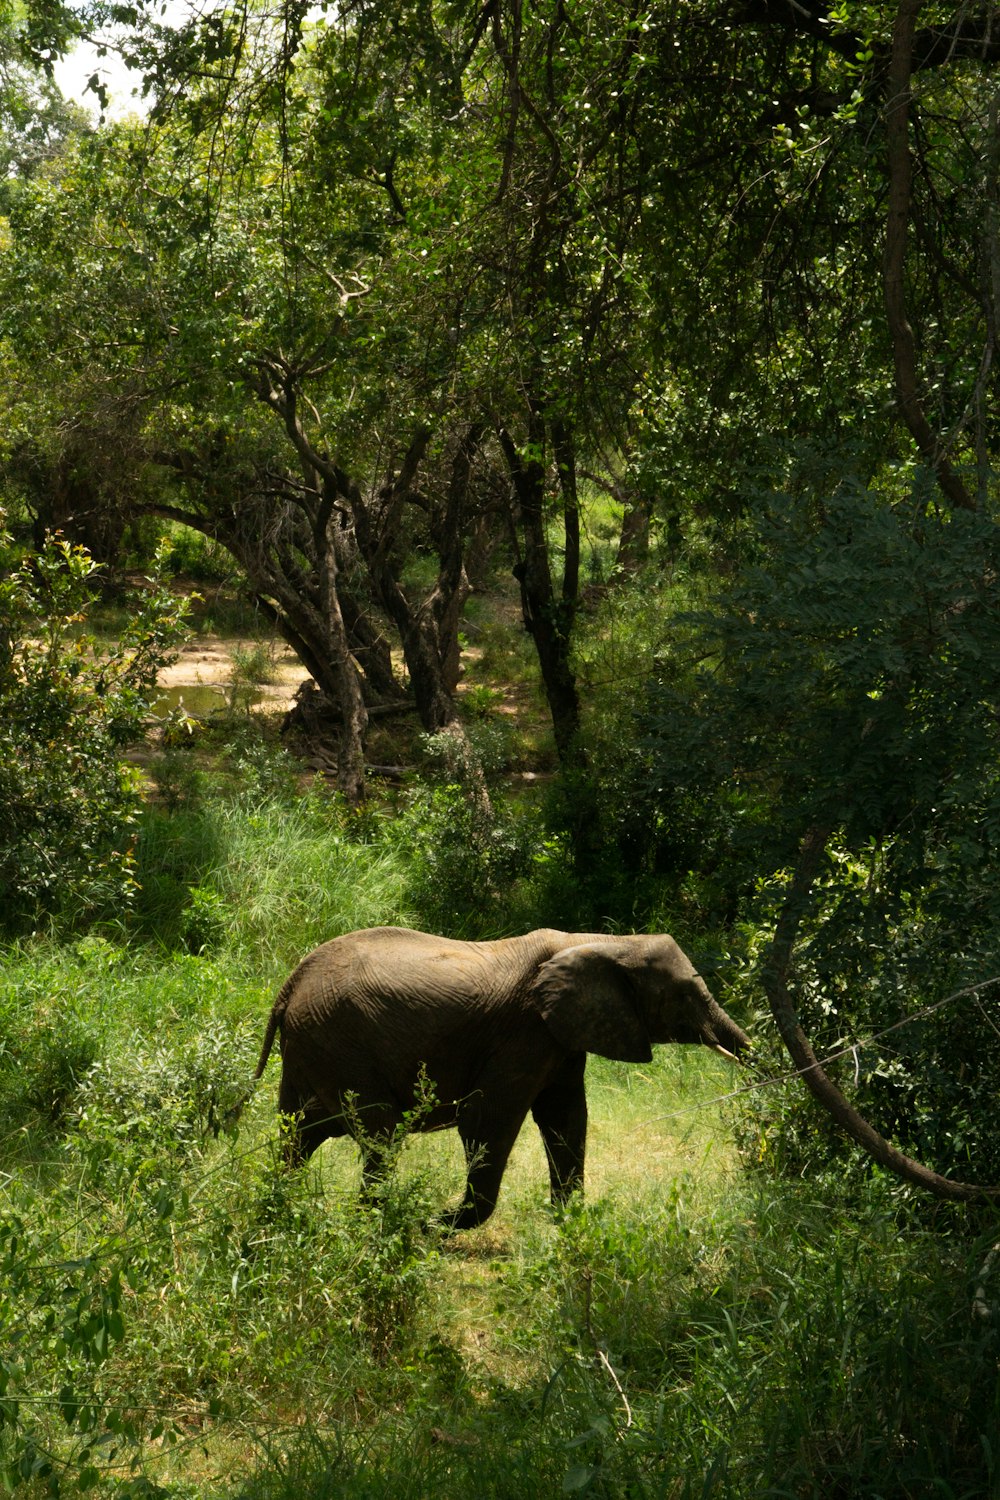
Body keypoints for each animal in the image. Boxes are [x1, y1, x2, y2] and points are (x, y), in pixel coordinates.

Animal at [250, 918, 749, 1224]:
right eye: (685, 995)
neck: (605, 941)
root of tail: (290, 983)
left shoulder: (560, 1034)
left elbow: (565, 1117)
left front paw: (569, 1223)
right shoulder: (525, 1031)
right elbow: (489, 1119)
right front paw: (440, 1223)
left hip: (314, 1046)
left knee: (299, 1132)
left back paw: (278, 1210)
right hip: (338, 1041)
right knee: (380, 1132)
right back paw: (376, 1219)